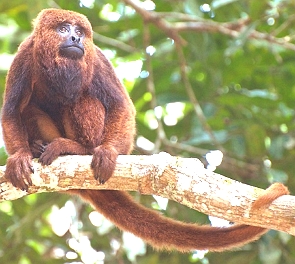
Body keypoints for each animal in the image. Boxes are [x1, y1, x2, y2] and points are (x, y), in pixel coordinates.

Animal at [1, 8, 290, 252]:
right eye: (63, 29)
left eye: (80, 32)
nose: (75, 38)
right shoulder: (24, 55)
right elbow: (12, 110)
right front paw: (19, 157)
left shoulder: (97, 57)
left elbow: (120, 105)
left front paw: (107, 152)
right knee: (29, 108)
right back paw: (39, 147)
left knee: (83, 98)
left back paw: (78, 148)